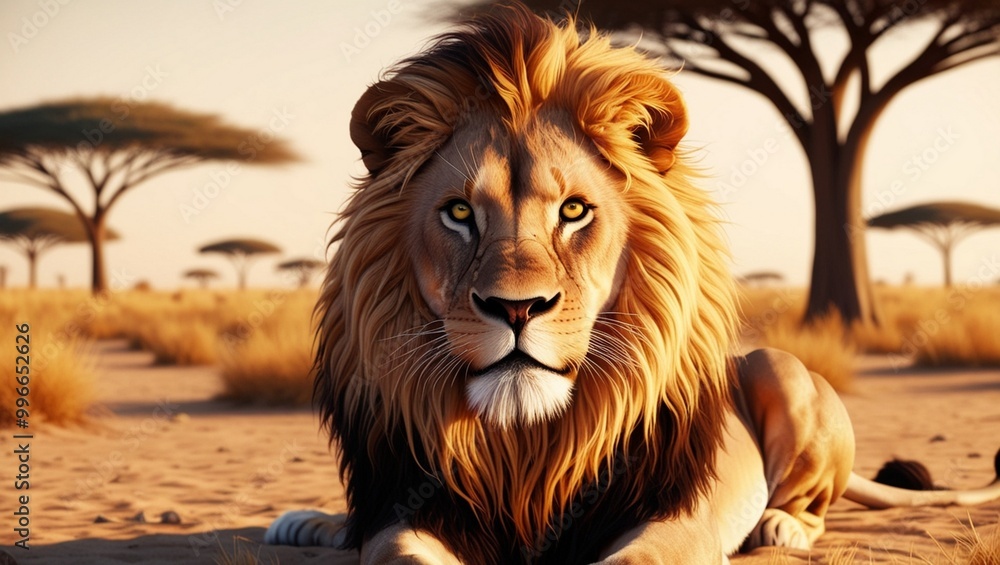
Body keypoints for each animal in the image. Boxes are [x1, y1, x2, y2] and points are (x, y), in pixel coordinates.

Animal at [266, 5, 1000, 563]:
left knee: (810, 499)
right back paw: (310, 522)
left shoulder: (675, 511)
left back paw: (779, 525)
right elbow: (392, 546)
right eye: (458, 213)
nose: (516, 308)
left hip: (778, 370)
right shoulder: (410, 505)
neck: (526, 444)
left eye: (573, 211)